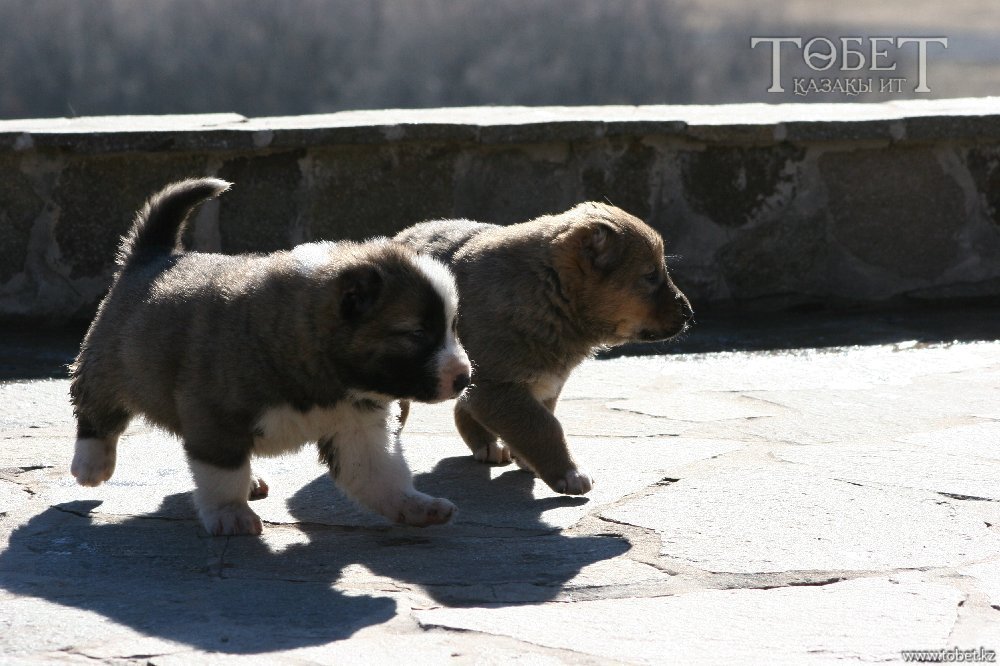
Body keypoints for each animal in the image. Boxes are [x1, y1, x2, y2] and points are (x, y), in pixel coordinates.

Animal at [70, 176, 468, 536]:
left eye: (452, 327)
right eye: (417, 334)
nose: (464, 378)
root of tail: (154, 254)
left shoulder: (356, 426)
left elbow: (382, 475)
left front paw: (417, 506)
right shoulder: (216, 416)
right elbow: (223, 472)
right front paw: (231, 514)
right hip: (108, 363)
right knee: (96, 411)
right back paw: (91, 464)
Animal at [394, 205, 692, 496]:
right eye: (650, 276)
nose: (689, 313)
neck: (547, 289)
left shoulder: (541, 382)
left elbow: (538, 420)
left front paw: (530, 461)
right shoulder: (497, 383)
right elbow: (543, 426)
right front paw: (569, 473)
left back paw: (486, 445)